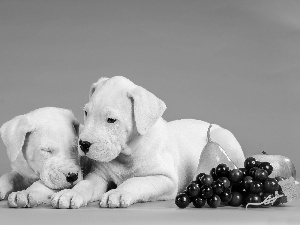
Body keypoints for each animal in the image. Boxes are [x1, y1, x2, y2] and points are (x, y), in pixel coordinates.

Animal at [50, 76, 245, 209]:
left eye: (111, 120)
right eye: (86, 113)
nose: (83, 144)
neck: (128, 153)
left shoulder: (165, 179)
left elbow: (137, 182)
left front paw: (119, 192)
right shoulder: (98, 176)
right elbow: (86, 184)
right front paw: (70, 194)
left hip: (225, 140)